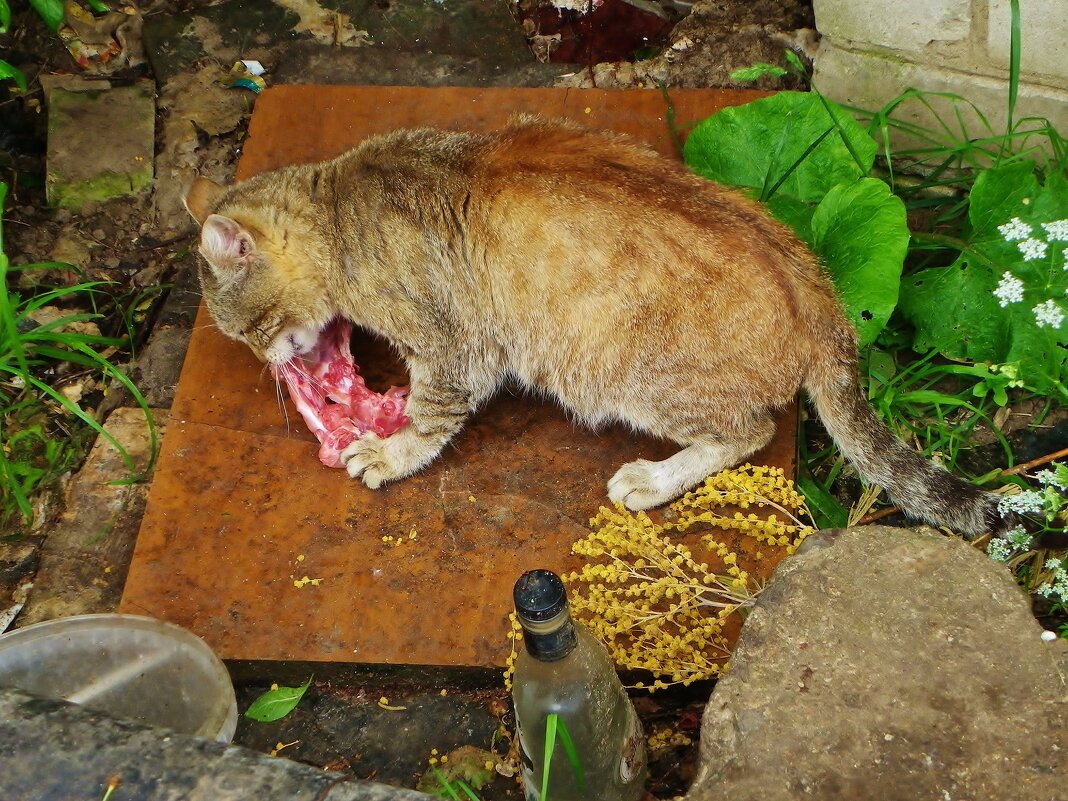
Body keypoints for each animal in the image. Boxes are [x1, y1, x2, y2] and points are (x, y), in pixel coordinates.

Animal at [179, 114, 1003, 540]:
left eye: (244, 329)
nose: (266, 361)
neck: (340, 206)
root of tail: (820, 289)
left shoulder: (455, 348)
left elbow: (431, 415)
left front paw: (389, 451)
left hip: (635, 377)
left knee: (750, 429)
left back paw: (653, 478)